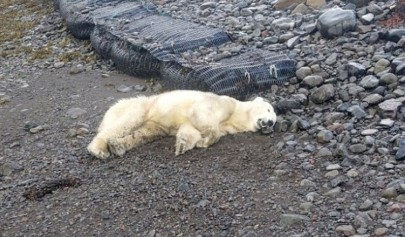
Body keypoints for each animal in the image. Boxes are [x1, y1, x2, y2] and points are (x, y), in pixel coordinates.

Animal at [87, 90, 276, 159]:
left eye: (274, 121)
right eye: (269, 110)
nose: (270, 123)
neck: (237, 114)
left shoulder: (226, 125)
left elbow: (190, 129)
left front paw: (184, 145)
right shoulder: (222, 103)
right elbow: (202, 116)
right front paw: (205, 140)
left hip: (154, 125)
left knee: (143, 134)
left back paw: (117, 146)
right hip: (140, 107)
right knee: (126, 123)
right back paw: (98, 149)